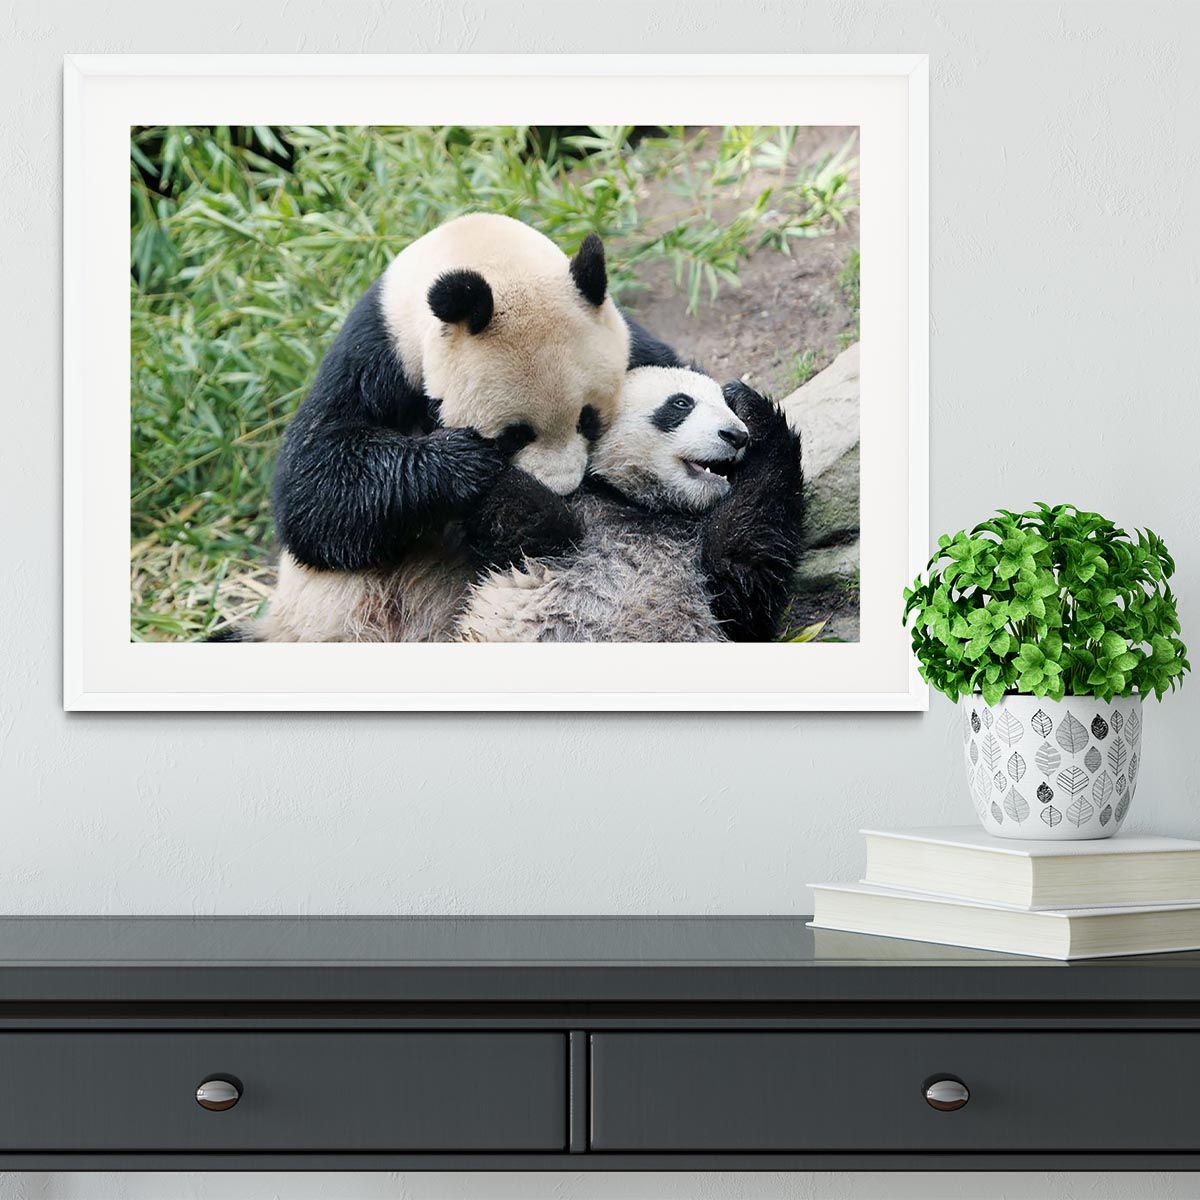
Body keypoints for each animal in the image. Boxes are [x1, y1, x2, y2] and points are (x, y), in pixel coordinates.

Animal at [234, 213, 681, 643]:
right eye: (514, 435)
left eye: (588, 419)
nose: (563, 489)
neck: (480, 250)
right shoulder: (376, 352)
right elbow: (314, 484)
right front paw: (463, 463)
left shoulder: (627, 336)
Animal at [455, 367, 805, 643]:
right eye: (681, 403)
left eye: (725, 407)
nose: (735, 435)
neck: (646, 506)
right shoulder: (583, 513)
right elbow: (524, 518)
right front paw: (466, 458)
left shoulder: (712, 583)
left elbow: (746, 565)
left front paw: (750, 405)